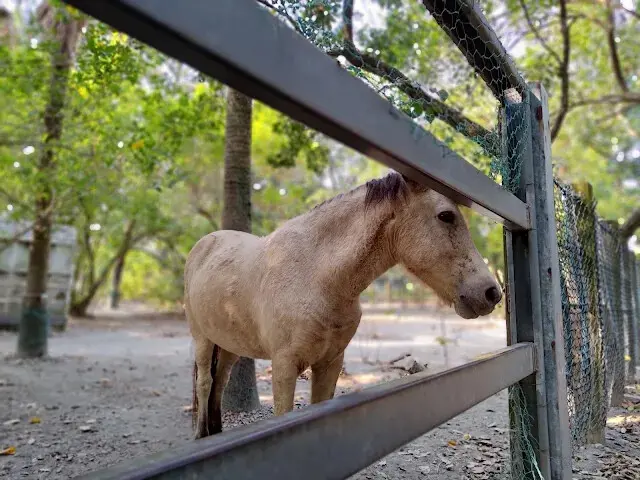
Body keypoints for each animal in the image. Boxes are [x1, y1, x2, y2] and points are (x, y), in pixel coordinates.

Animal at [183, 171, 503, 439]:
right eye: (446, 216)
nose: (492, 293)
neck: (315, 274)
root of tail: (203, 245)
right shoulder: (284, 366)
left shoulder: (330, 363)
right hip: (202, 339)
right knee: (205, 382)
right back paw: (201, 435)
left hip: (228, 346)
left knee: (220, 382)